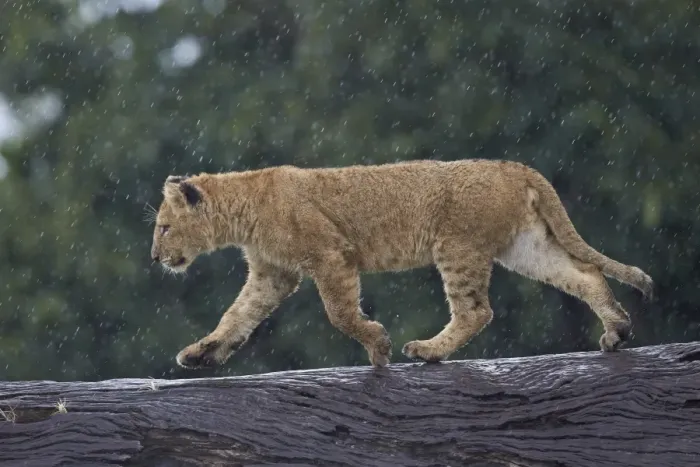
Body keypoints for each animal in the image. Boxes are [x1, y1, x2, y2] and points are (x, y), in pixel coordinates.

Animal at [149, 159, 653, 369]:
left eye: (163, 227)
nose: (154, 257)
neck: (244, 206)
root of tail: (515, 167)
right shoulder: (273, 275)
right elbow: (236, 317)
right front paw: (202, 353)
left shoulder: (331, 255)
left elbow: (340, 313)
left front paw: (378, 346)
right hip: (524, 247)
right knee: (585, 274)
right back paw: (617, 330)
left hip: (456, 246)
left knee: (476, 311)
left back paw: (429, 350)